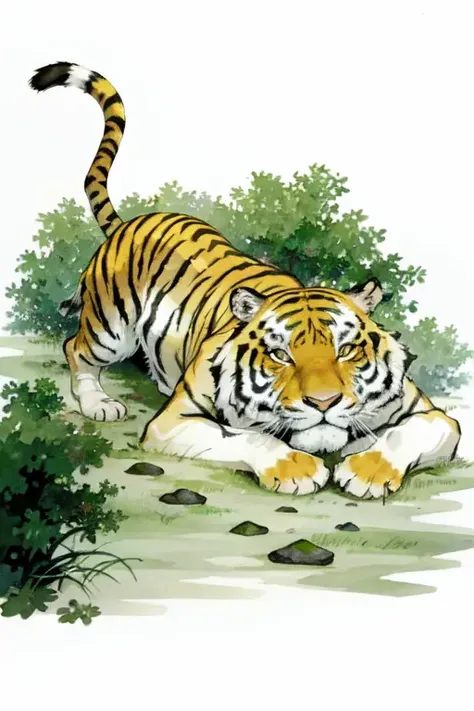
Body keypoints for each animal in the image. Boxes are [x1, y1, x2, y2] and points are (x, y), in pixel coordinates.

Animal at [29, 61, 461, 499]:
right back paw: (99, 403)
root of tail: (130, 222)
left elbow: (405, 434)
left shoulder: (432, 415)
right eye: (280, 355)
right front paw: (297, 470)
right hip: (110, 331)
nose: (324, 403)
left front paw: (367, 472)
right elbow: (248, 436)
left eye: (346, 351)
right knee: (74, 347)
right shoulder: (174, 422)